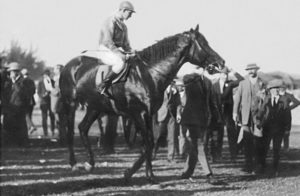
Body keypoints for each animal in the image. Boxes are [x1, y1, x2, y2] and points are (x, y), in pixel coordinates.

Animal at [59, 24, 223, 184]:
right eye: (203, 44)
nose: (221, 62)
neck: (147, 74)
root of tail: (70, 65)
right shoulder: (139, 114)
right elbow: (148, 143)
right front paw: (145, 175)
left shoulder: (148, 114)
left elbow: (149, 143)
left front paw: (136, 173)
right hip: (70, 104)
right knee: (70, 132)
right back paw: (73, 164)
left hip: (95, 107)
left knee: (83, 128)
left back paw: (90, 163)